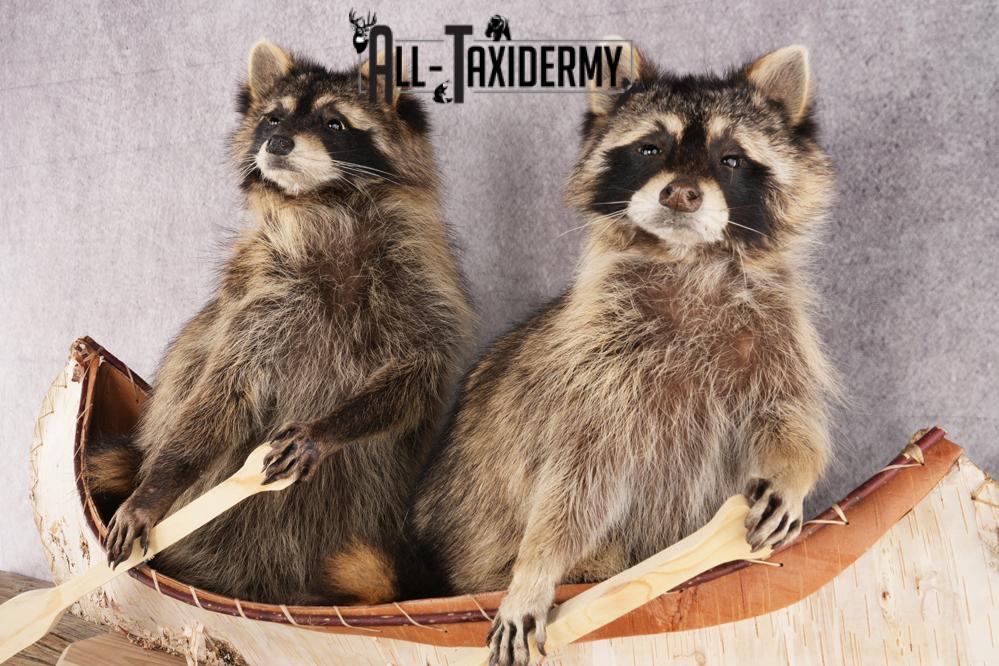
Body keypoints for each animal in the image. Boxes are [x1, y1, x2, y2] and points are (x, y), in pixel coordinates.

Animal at [92, 41, 472, 605]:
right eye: (273, 117)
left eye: (335, 123)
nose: (276, 140)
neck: (326, 203)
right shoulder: (260, 292)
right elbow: (223, 390)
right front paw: (157, 486)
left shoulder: (421, 281)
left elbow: (415, 374)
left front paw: (329, 427)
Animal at [409, 43, 837, 664]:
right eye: (650, 148)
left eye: (730, 159)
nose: (679, 193)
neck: (690, 259)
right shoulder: (597, 367)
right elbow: (574, 480)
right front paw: (536, 570)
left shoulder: (778, 338)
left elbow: (793, 418)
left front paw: (794, 472)